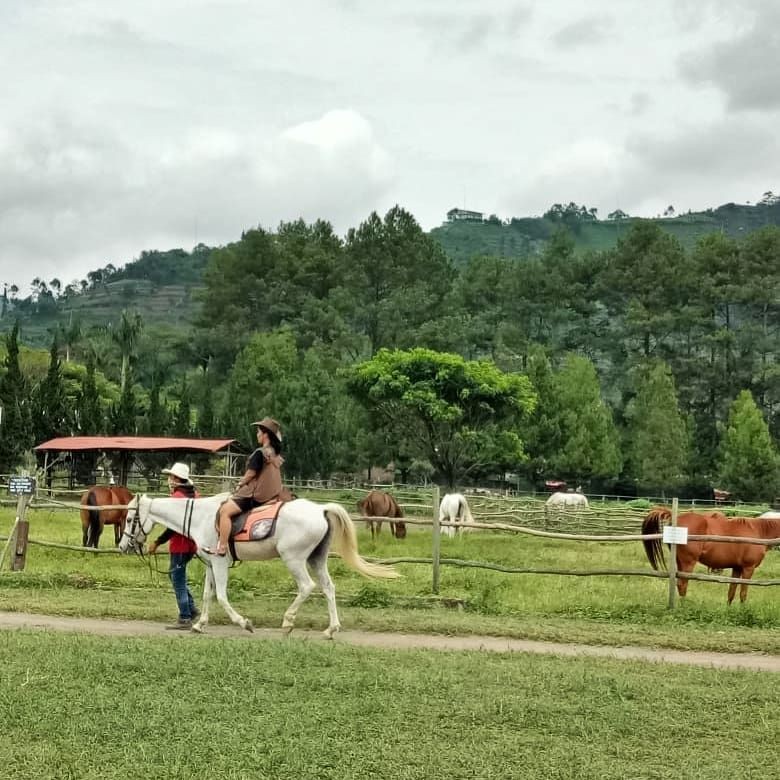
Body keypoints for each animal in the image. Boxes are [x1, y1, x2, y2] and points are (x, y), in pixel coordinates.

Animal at [119, 496, 400, 636]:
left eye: (131, 518)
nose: (123, 546)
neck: (201, 516)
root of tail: (320, 510)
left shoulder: (220, 562)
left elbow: (222, 596)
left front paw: (244, 623)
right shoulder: (210, 565)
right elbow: (208, 595)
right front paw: (199, 625)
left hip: (294, 559)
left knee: (307, 587)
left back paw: (288, 622)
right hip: (316, 559)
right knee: (329, 588)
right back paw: (331, 629)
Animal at [640, 506, 780, 604]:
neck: (759, 531)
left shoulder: (737, 568)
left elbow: (732, 591)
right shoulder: (748, 568)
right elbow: (743, 593)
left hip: (679, 562)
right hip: (688, 563)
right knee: (682, 584)